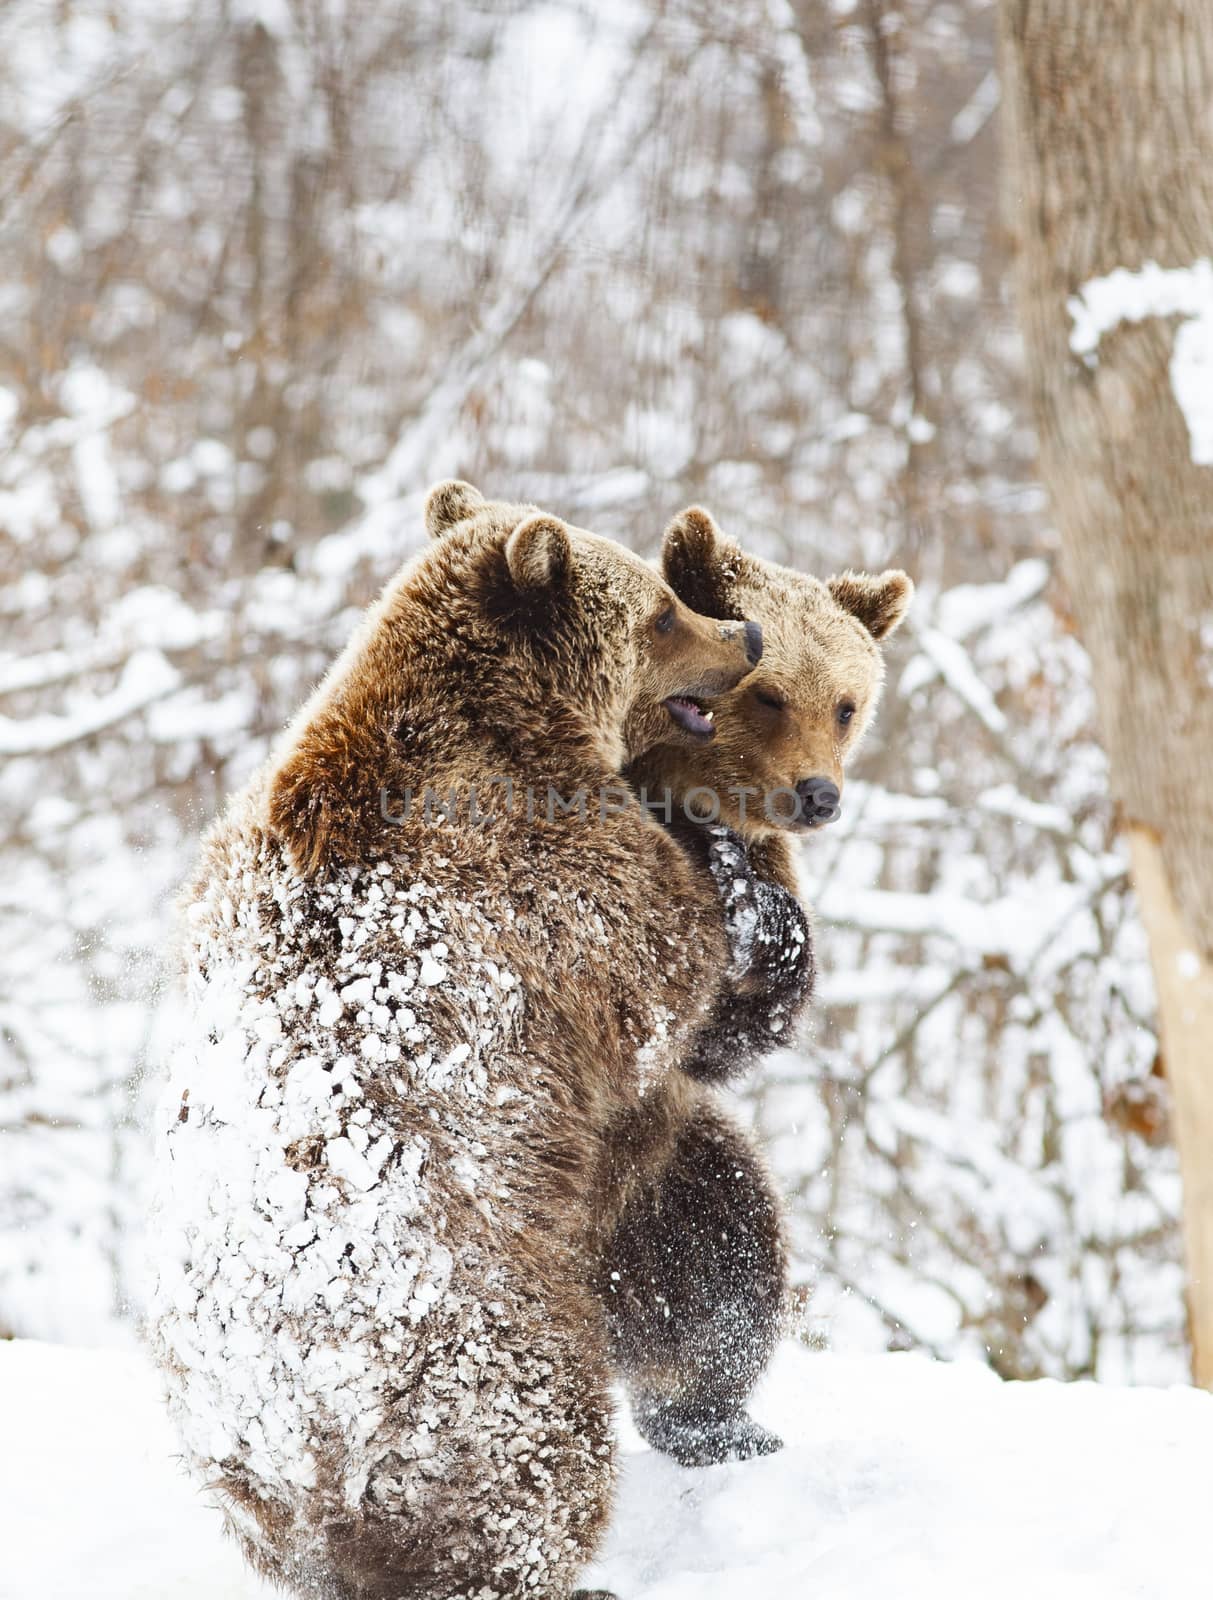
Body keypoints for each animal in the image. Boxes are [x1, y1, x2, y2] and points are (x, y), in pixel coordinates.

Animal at [147, 483, 777, 1600]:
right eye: (661, 611)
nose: (741, 633)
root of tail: (298, 1445)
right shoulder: (546, 894)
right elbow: (665, 961)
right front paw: (727, 873)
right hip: (485, 1339)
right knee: (539, 1464)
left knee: (711, 1246)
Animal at [598, 508, 908, 1465]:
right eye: (768, 695)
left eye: (845, 704)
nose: (817, 795)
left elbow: (726, 1033)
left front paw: (759, 925)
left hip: (667, 1184)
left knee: (731, 1266)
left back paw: (713, 1419)